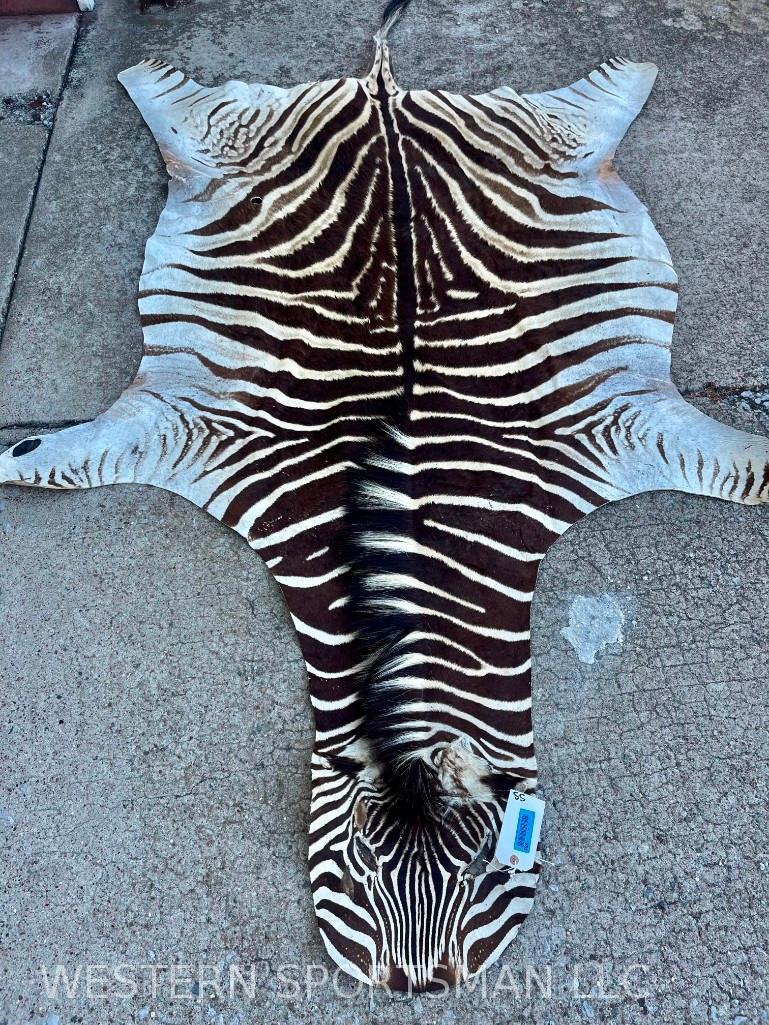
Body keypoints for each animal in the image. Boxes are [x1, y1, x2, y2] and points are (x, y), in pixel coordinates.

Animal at [1, 0, 767, 993]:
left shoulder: (621, 428)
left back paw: (633, 66)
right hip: (222, 143)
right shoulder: (190, 430)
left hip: (549, 141)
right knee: (170, 100)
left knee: (602, 100)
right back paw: (137, 69)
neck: (406, 539)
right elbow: (56, 458)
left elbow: (741, 469)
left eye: (482, 874)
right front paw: (13, 454)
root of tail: (385, 96)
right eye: (359, 868)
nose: (417, 984)